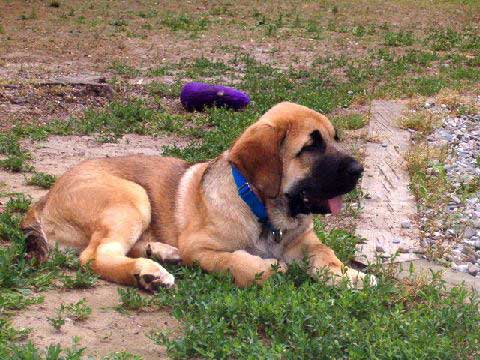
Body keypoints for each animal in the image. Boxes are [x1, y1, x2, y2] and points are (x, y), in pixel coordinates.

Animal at [21, 101, 376, 290]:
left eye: (334, 139)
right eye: (310, 146)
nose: (359, 170)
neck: (263, 210)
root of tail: (44, 197)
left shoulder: (306, 241)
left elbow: (326, 254)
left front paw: (351, 276)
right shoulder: (201, 248)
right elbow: (238, 261)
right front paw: (271, 269)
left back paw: (160, 253)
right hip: (131, 197)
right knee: (95, 256)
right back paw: (148, 272)